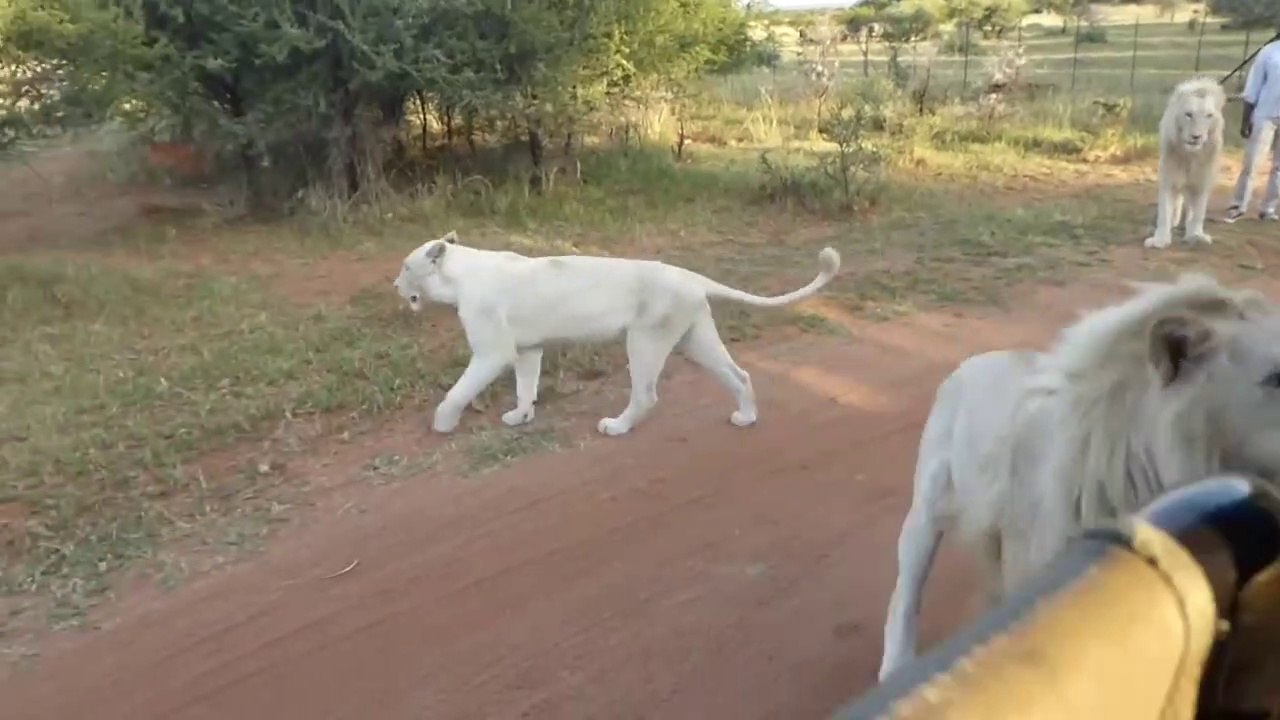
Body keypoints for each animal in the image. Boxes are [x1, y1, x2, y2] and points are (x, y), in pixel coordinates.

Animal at [393, 231, 841, 436]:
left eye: (405, 266)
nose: (396, 285)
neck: (456, 275)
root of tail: (691, 276)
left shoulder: (493, 350)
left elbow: (460, 389)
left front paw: (443, 423)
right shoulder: (528, 348)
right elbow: (525, 386)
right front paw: (521, 415)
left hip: (645, 339)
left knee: (646, 394)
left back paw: (617, 427)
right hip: (695, 338)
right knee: (739, 374)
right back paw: (745, 417)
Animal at [1143, 77, 1227, 249]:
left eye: (1209, 115)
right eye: (1189, 114)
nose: (1196, 136)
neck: (1191, 157)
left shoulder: (1202, 182)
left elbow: (1198, 212)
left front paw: (1196, 235)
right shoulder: (1169, 177)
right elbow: (1165, 211)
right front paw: (1160, 240)